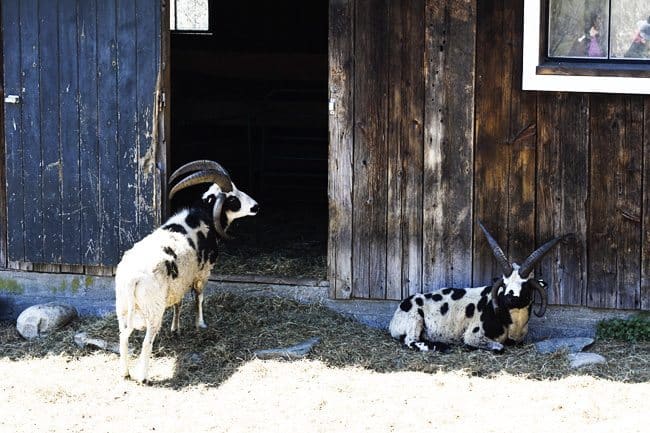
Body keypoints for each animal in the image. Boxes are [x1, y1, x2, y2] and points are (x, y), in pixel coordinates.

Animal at [115, 159, 256, 382]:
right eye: (233, 198)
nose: (256, 206)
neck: (203, 217)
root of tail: (132, 279)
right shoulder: (201, 273)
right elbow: (199, 297)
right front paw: (201, 324)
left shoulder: (178, 282)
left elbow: (178, 303)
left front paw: (176, 328)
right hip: (153, 309)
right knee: (146, 342)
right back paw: (143, 377)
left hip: (121, 307)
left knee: (123, 336)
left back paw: (125, 373)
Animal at [390, 221, 568, 352]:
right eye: (504, 284)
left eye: (525, 285)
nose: (509, 299)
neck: (513, 322)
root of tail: (395, 319)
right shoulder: (473, 335)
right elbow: (499, 347)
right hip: (415, 319)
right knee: (410, 340)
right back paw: (439, 346)